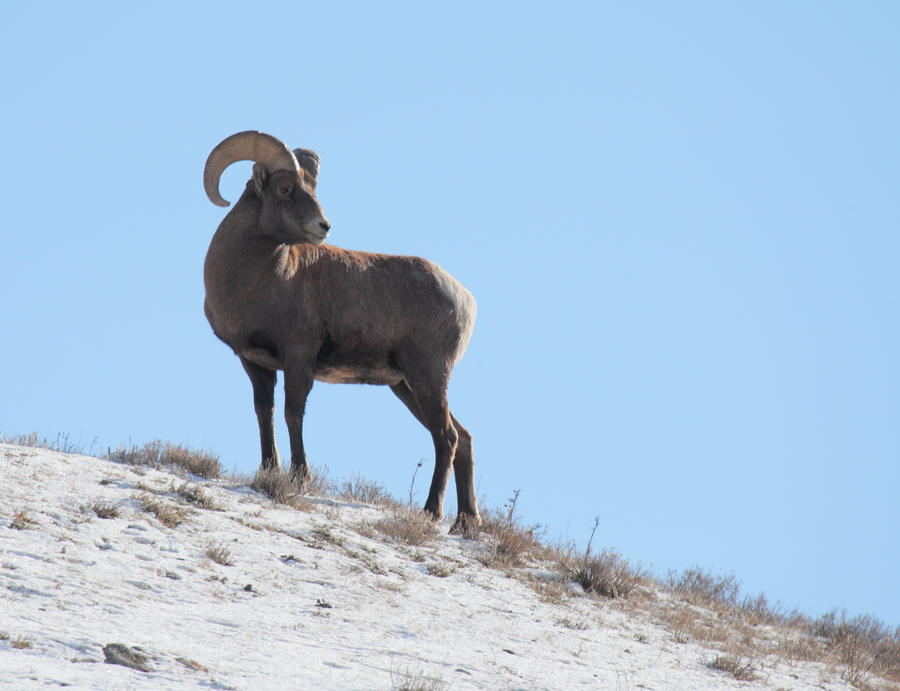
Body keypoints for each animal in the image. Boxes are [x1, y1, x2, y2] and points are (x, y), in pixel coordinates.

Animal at [204, 131, 482, 528]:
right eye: (286, 189)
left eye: (312, 188)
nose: (324, 226)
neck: (262, 278)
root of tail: (466, 299)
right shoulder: (255, 363)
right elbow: (265, 413)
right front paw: (268, 471)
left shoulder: (299, 358)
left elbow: (292, 413)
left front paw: (299, 478)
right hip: (406, 385)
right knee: (462, 437)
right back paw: (465, 522)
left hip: (427, 376)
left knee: (446, 437)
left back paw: (430, 512)